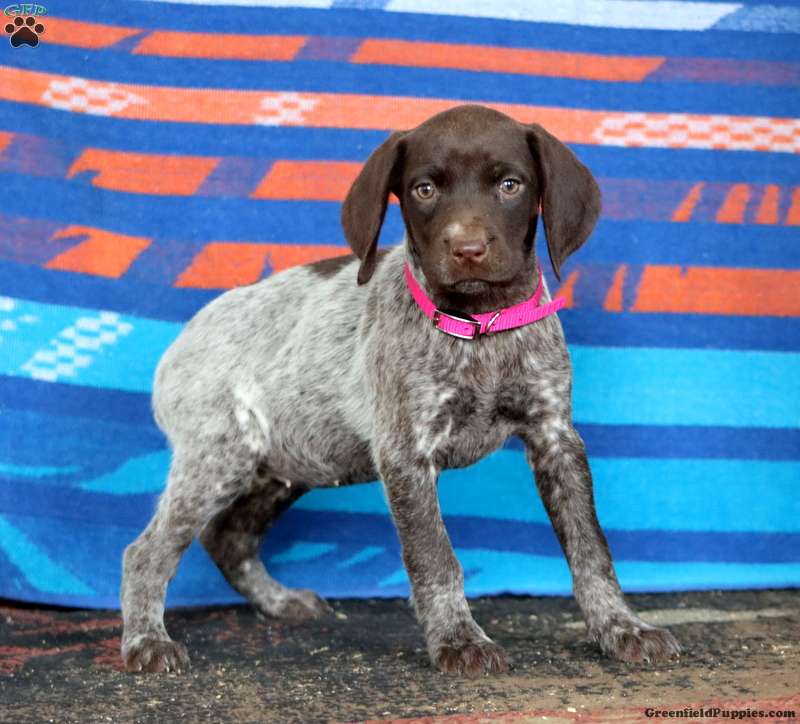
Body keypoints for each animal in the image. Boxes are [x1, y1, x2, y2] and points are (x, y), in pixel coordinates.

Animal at [120, 104, 680, 676]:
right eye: (424, 189)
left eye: (510, 185)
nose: (467, 249)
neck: (479, 326)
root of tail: (179, 345)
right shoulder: (407, 454)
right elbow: (435, 558)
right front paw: (459, 639)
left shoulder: (555, 438)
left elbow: (591, 548)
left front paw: (620, 627)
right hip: (220, 458)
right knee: (146, 553)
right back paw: (146, 640)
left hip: (285, 466)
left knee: (228, 538)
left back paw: (278, 600)